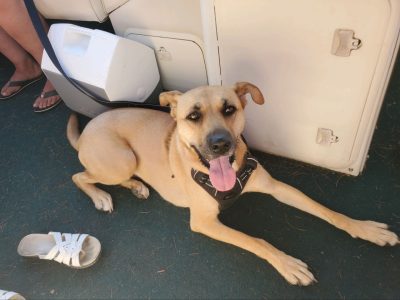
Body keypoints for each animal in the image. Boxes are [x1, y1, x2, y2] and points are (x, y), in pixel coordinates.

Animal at [67, 82, 398, 286]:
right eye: (193, 116)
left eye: (229, 109)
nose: (220, 144)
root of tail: (86, 131)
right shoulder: (204, 222)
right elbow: (257, 241)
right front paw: (287, 264)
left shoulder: (277, 187)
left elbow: (328, 212)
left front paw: (365, 229)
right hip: (123, 159)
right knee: (78, 176)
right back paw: (101, 196)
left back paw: (136, 186)